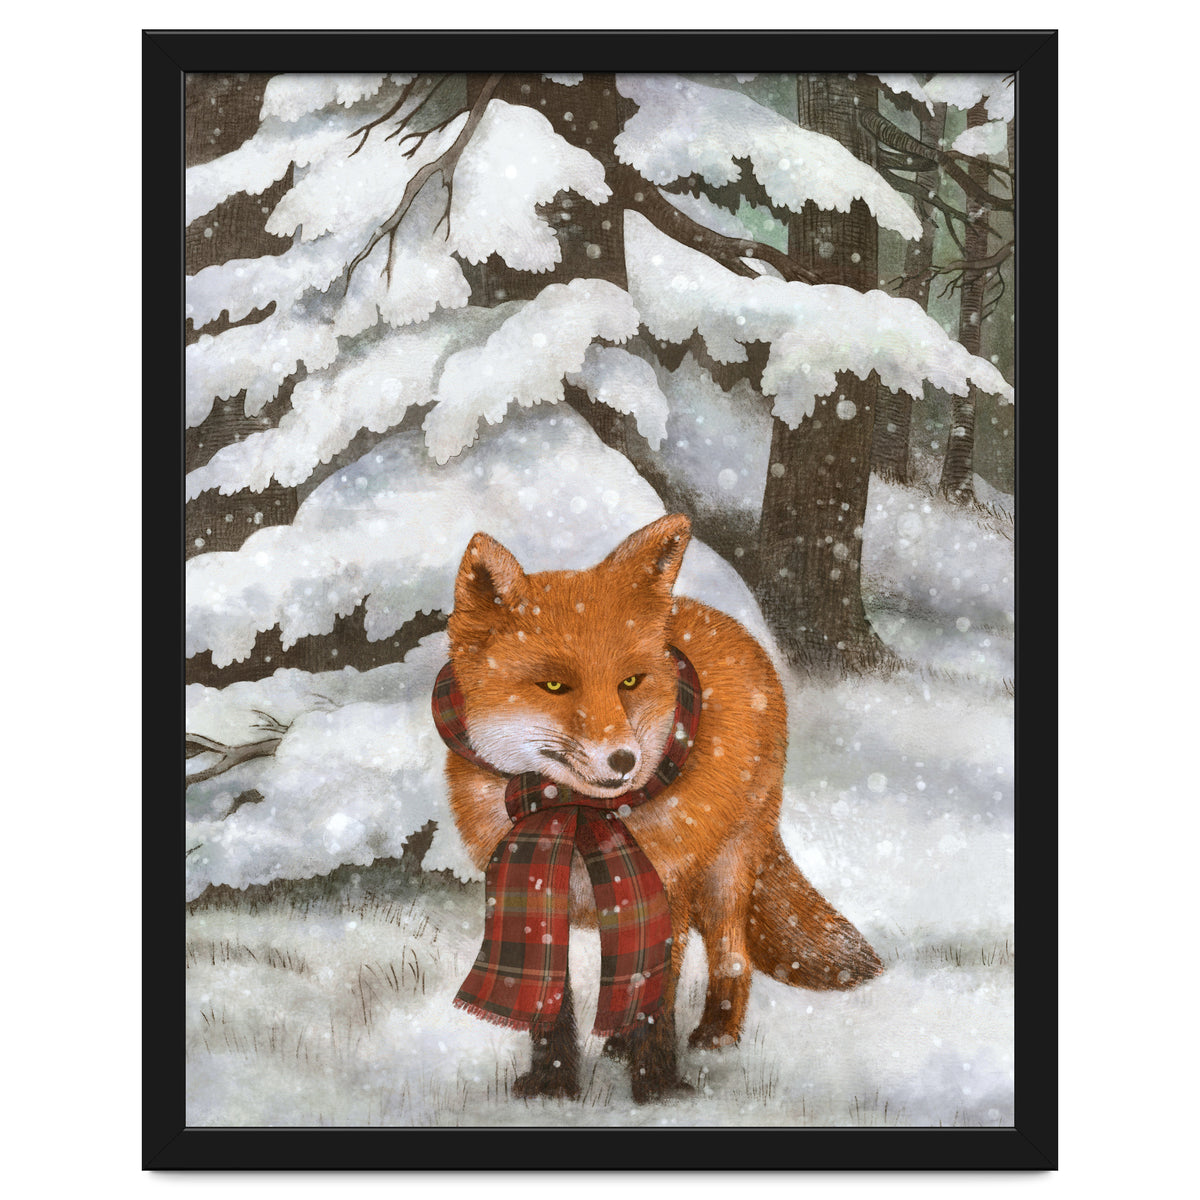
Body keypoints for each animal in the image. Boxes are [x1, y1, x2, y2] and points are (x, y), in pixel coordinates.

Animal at [440, 513, 882, 1103]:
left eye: (630, 681)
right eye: (554, 685)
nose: (624, 760)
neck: (574, 814)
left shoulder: (662, 889)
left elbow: (655, 1000)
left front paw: (658, 1089)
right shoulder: (537, 890)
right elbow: (551, 1001)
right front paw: (551, 1086)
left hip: (724, 873)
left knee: (731, 956)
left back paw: (715, 1034)